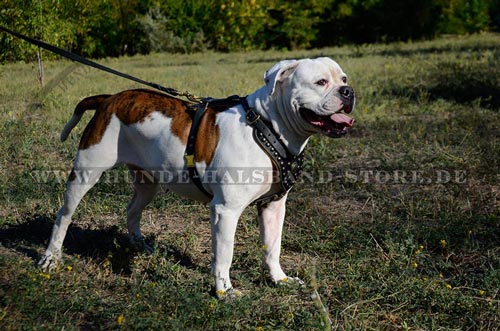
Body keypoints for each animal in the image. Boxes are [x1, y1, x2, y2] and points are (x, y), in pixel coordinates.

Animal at [40, 58, 356, 300]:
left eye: (343, 78)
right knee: (64, 215)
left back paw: (140, 246)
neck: (267, 127)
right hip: (85, 173)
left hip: (148, 181)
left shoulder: (274, 206)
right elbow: (225, 254)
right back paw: (50, 258)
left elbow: (272, 247)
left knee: (132, 210)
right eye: (320, 82)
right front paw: (225, 291)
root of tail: (109, 99)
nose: (348, 91)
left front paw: (279, 279)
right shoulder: (226, 210)